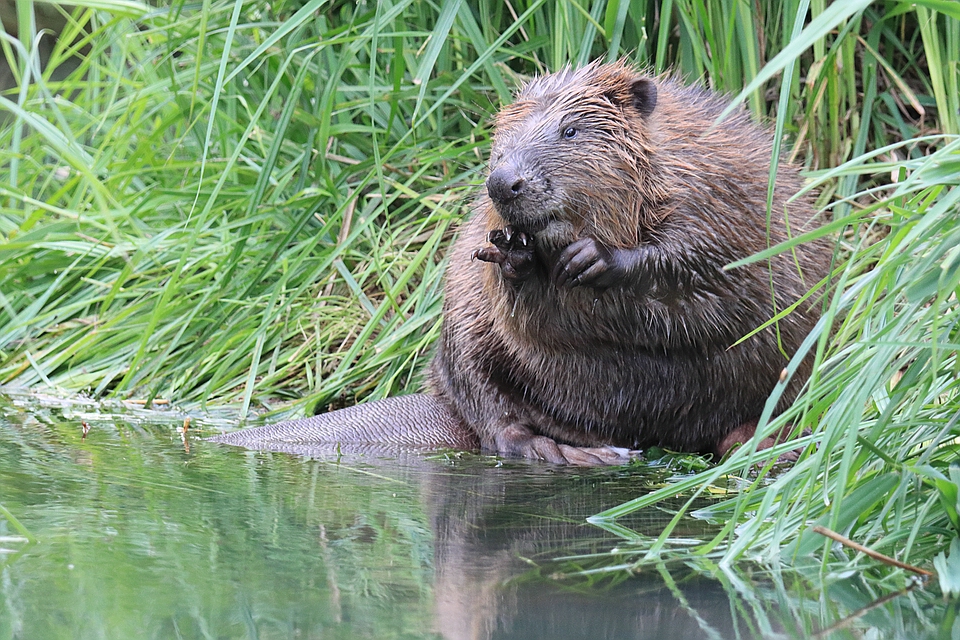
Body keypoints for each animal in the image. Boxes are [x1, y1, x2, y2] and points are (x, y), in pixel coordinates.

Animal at [212, 60, 832, 464]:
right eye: (499, 138)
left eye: (572, 129)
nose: (503, 182)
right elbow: (521, 309)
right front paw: (516, 255)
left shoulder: (715, 182)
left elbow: (708, 259)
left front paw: (593, 257)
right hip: (460, 342)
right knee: (496, 420)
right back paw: (578, 453)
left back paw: (758, 444)